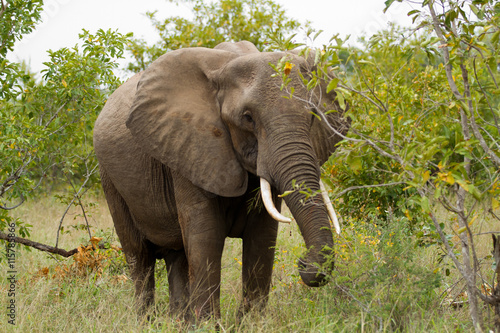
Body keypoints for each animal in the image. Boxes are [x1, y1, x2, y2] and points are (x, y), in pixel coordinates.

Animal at [94, 40, 352, 320]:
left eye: (313, 115)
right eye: (248, 117)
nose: (304, 262)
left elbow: (262, 236)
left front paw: (250, 323)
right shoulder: (189, 146)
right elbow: (206, 235)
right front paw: (208, 324)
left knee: (176, 255)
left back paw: (177, 321)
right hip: (109, 179)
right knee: (139, 256)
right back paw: (148, 321)